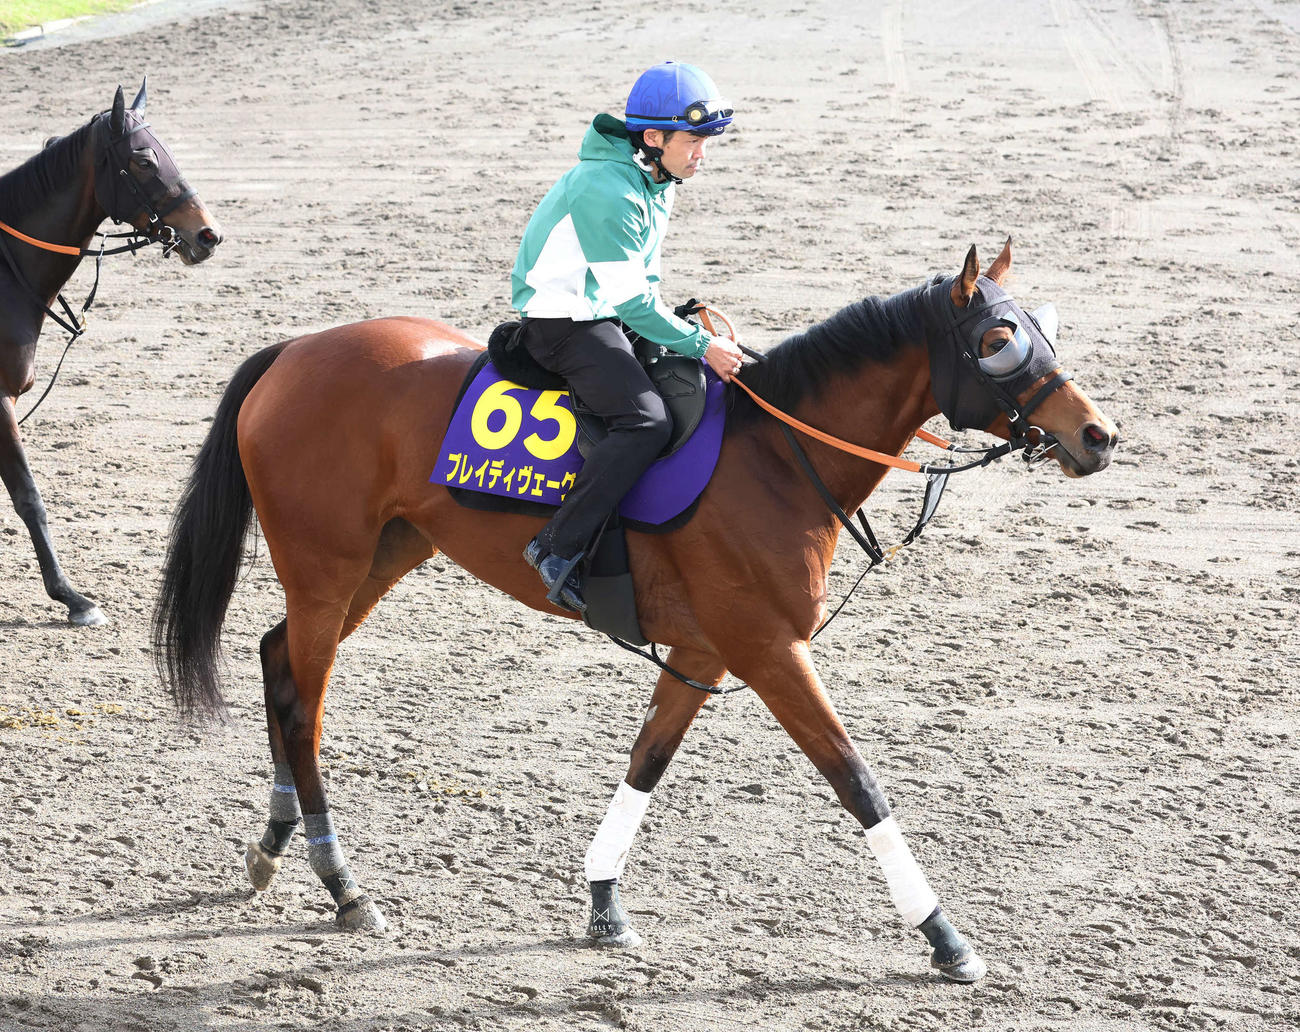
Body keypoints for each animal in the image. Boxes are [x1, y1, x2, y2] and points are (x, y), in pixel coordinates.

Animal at [153, 241, 1117, 982]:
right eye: (999, 339)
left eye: (1042, 327)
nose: (1097, 435)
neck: (778, 454)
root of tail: (295, 350)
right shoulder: (769, 651)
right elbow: (857, 781)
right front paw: (943, 935)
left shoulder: (704, 653)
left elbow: (647, 764)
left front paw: (604, 901)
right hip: (329, 569)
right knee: (304, 705)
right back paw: (343, 883)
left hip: (382, 558)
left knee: (278, 662)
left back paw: (276, 844)